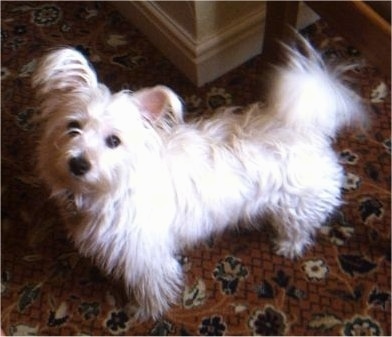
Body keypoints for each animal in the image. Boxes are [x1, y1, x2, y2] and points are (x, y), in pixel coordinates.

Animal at [33, 38, 364, 318]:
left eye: (114, 141)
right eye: (73, 126)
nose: (78, 163)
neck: (111, 189)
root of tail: (310, 130)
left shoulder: (146, 258)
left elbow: (151, 289)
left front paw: (144, 312)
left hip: (299, 203)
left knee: (301, 227)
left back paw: (288, 245)